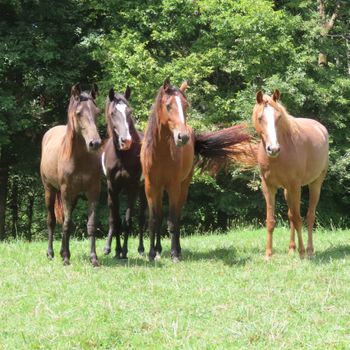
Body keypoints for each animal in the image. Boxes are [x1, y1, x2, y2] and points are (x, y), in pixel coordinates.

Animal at [40, 83, 102, 266]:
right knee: (52, 221)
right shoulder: (66, 192)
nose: (95, 143)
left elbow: (90, 224)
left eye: (97, 112)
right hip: (50, 190)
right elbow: (66, 224)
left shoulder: (93, 191)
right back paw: (51, 253)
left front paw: (94, 258)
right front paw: (66, 258)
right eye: (79, 113)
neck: (79, 158)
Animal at [101, 86, 146, 258]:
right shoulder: (113, 187)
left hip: (143, 190)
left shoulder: (131, 188)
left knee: (141, 218)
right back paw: (108, 248)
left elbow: (127, 221)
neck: (122, 156)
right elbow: (116, 220)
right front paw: (116, 251)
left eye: (129, 111)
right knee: (112, 217)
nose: (126, 141)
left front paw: (124, 251)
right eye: (113, 112)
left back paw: (142, 248)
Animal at [141, 78, 256, 260]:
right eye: (168, 105)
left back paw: (178, 250)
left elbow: (172, 221)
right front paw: (152, 254)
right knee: (159, 217)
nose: (182, 137)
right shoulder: (150, 187)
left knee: (178, 216)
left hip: (183, 187)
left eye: (186, 106)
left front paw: (174, 254)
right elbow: (154, 220)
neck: (160, 154)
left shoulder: (174, 187)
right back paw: (159, 250)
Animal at [252, 90, 328, 260]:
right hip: (288, 190)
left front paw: (302, 253)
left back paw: (309, 250)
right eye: (260, 118)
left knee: (309, 216)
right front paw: (268, 254)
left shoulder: (295, 186)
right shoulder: (268, 187)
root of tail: (320, 127)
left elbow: (299, 219)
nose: (273, 149)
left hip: (315, 183)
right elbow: (271, 221)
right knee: (291, 215)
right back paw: (291, 248)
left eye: (278, 117)